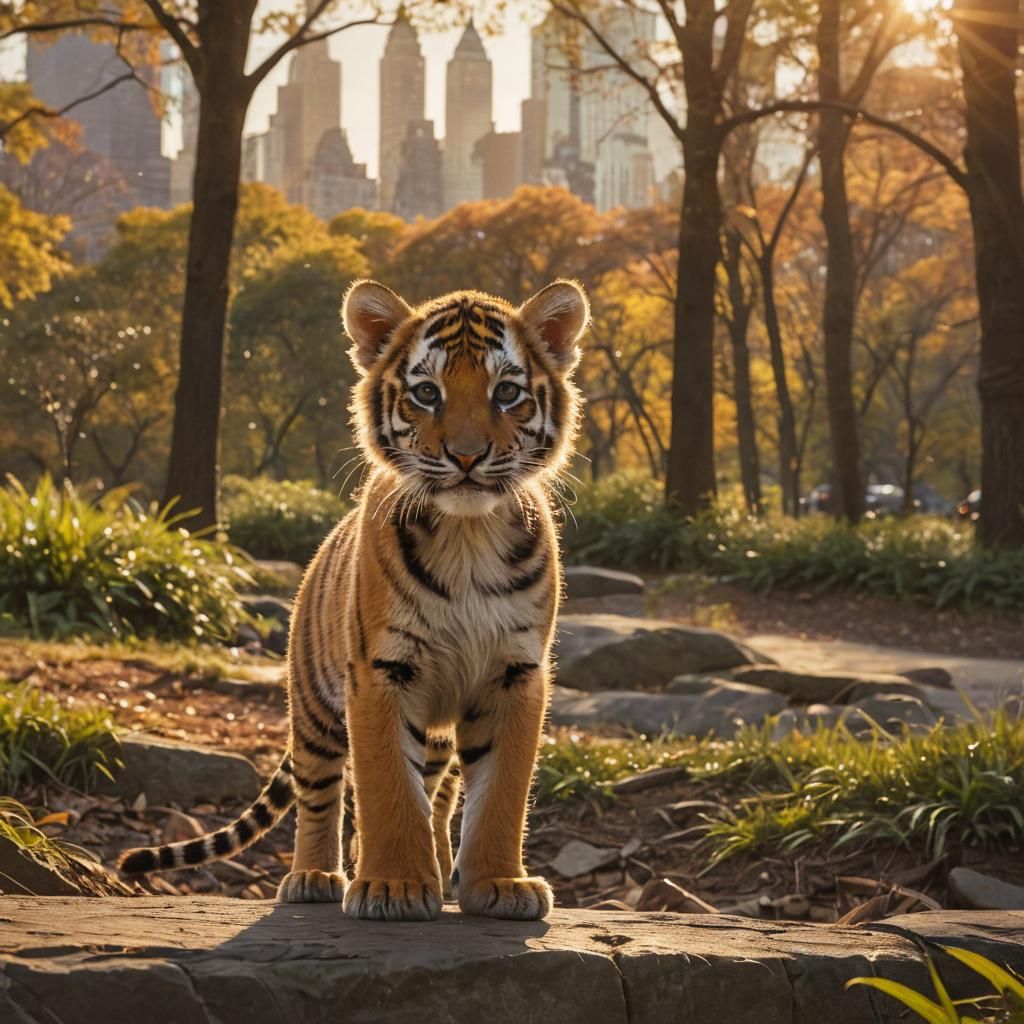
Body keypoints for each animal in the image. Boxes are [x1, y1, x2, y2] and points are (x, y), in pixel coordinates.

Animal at [119, 277, 588, 922]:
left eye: (507, 391)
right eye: (426, 392)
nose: (467, 456)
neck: (468, 535)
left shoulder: (515, 673)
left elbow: (500, 792)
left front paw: (498, 884)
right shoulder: (381, 671)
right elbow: (386, 787)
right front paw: (393, 886)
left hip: (434, 730)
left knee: (438, 794)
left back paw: (438, 869)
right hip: (315, 708)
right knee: (322, 794)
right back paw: (316, 876)